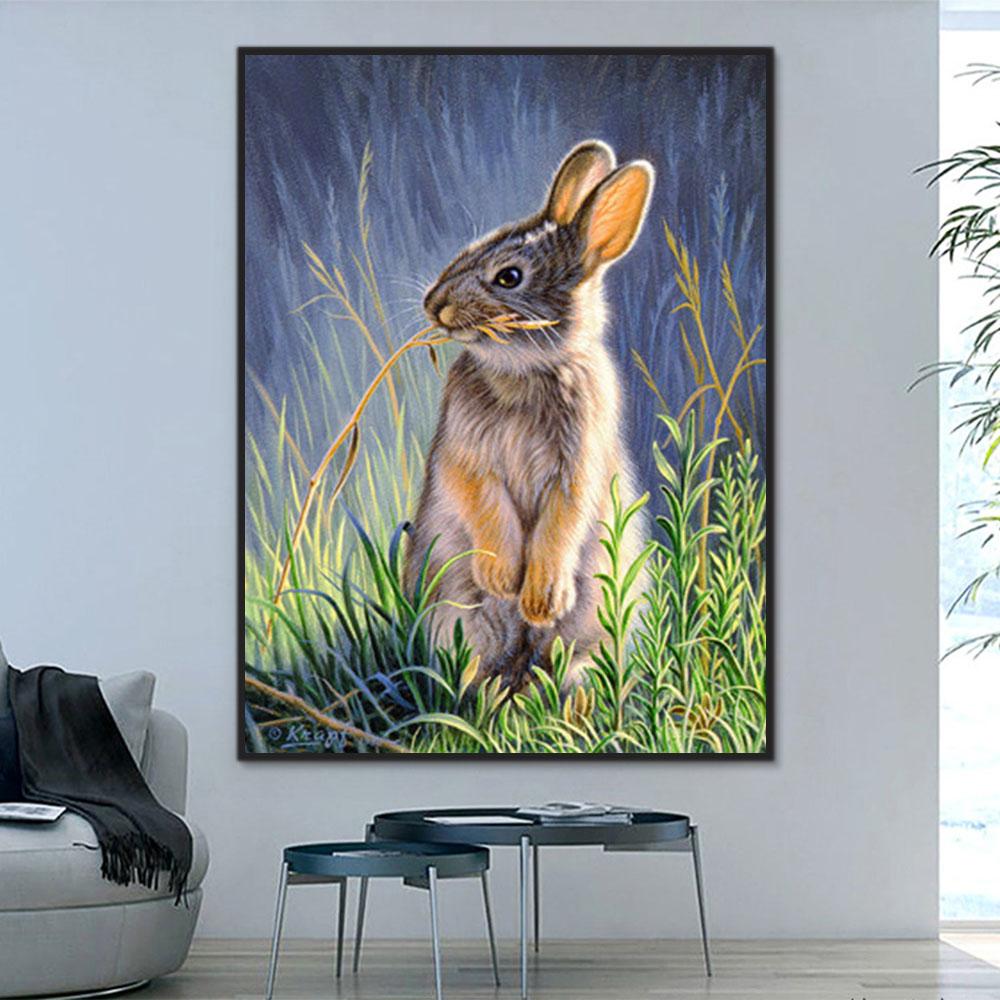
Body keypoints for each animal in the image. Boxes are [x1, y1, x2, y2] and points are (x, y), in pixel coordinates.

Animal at [406, 140, 654, 691]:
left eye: (509, 277)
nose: (435, 305)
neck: (525, 371)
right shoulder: (466, 454)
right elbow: (484, 502)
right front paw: (503, 577)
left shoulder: (578, 464)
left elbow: (562, 522)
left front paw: (540, 598)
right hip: (454, 614)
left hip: (591, 625)